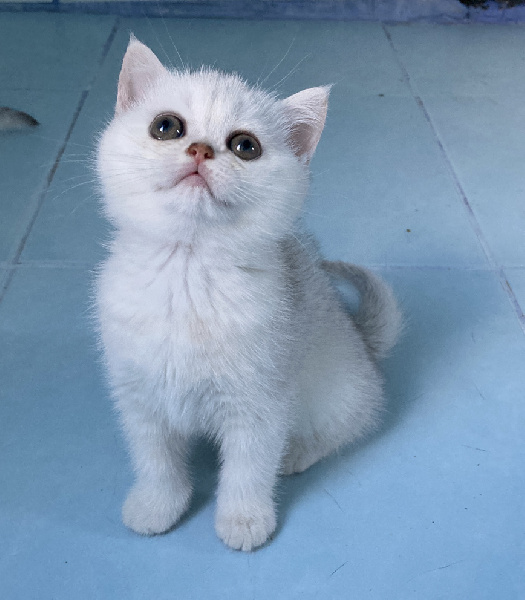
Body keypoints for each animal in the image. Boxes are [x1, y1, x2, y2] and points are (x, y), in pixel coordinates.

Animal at [94, 38, 400, 552]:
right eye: (166, 127)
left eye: (245, 146)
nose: (199, 149)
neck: (188, 275)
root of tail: (362, 341)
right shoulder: (138, 394)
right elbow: (155, 459)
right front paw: (157, 505)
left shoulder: (261, 404)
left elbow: (248, 469)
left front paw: (243, 520)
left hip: (336, 393)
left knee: (341, 429)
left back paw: (297, 454)